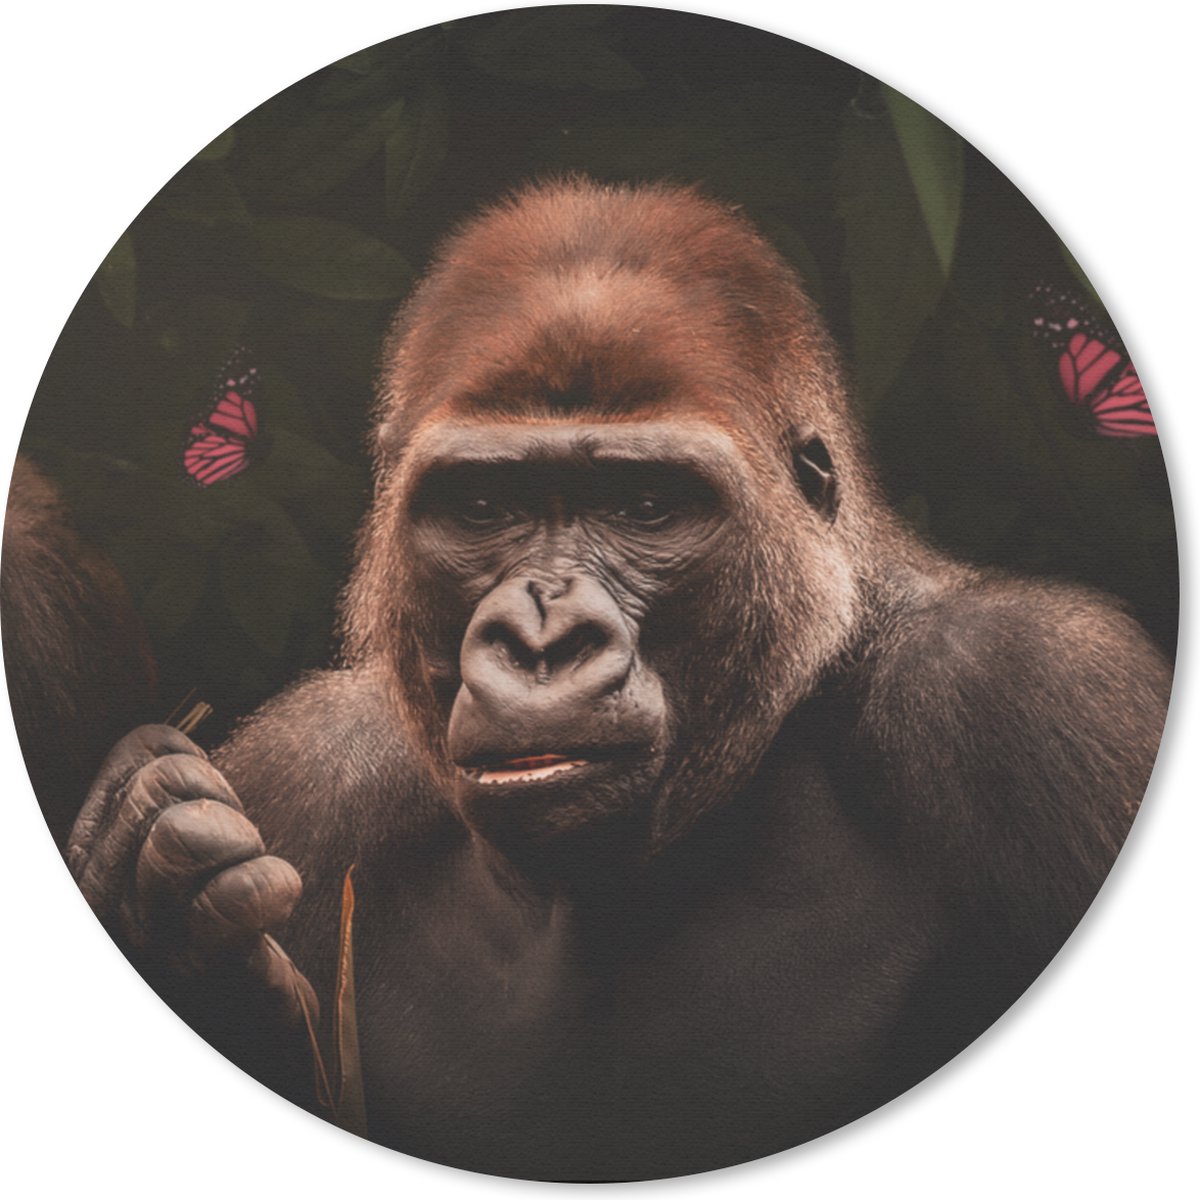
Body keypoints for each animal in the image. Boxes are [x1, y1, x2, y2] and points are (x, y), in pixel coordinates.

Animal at [60, 180, 1171, 1180]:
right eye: (484, 505)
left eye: (645, 504)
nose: (542, 639)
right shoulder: (309, 771)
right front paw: (156, 892)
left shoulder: (1035, 691)